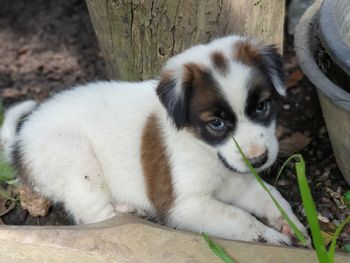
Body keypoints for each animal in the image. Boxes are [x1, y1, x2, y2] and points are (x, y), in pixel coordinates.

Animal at [0, 35, 306, 245]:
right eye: (216, 124)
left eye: (262, 107)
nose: (259, 159)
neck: (205, 149)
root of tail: (20, 140)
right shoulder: (184, 206)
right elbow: (239, 218)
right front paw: (270, 237)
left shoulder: (237, 180)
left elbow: (271, 196)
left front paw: (292, 223)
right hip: (72, 154)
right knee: (93, 213)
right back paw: (124, 212)